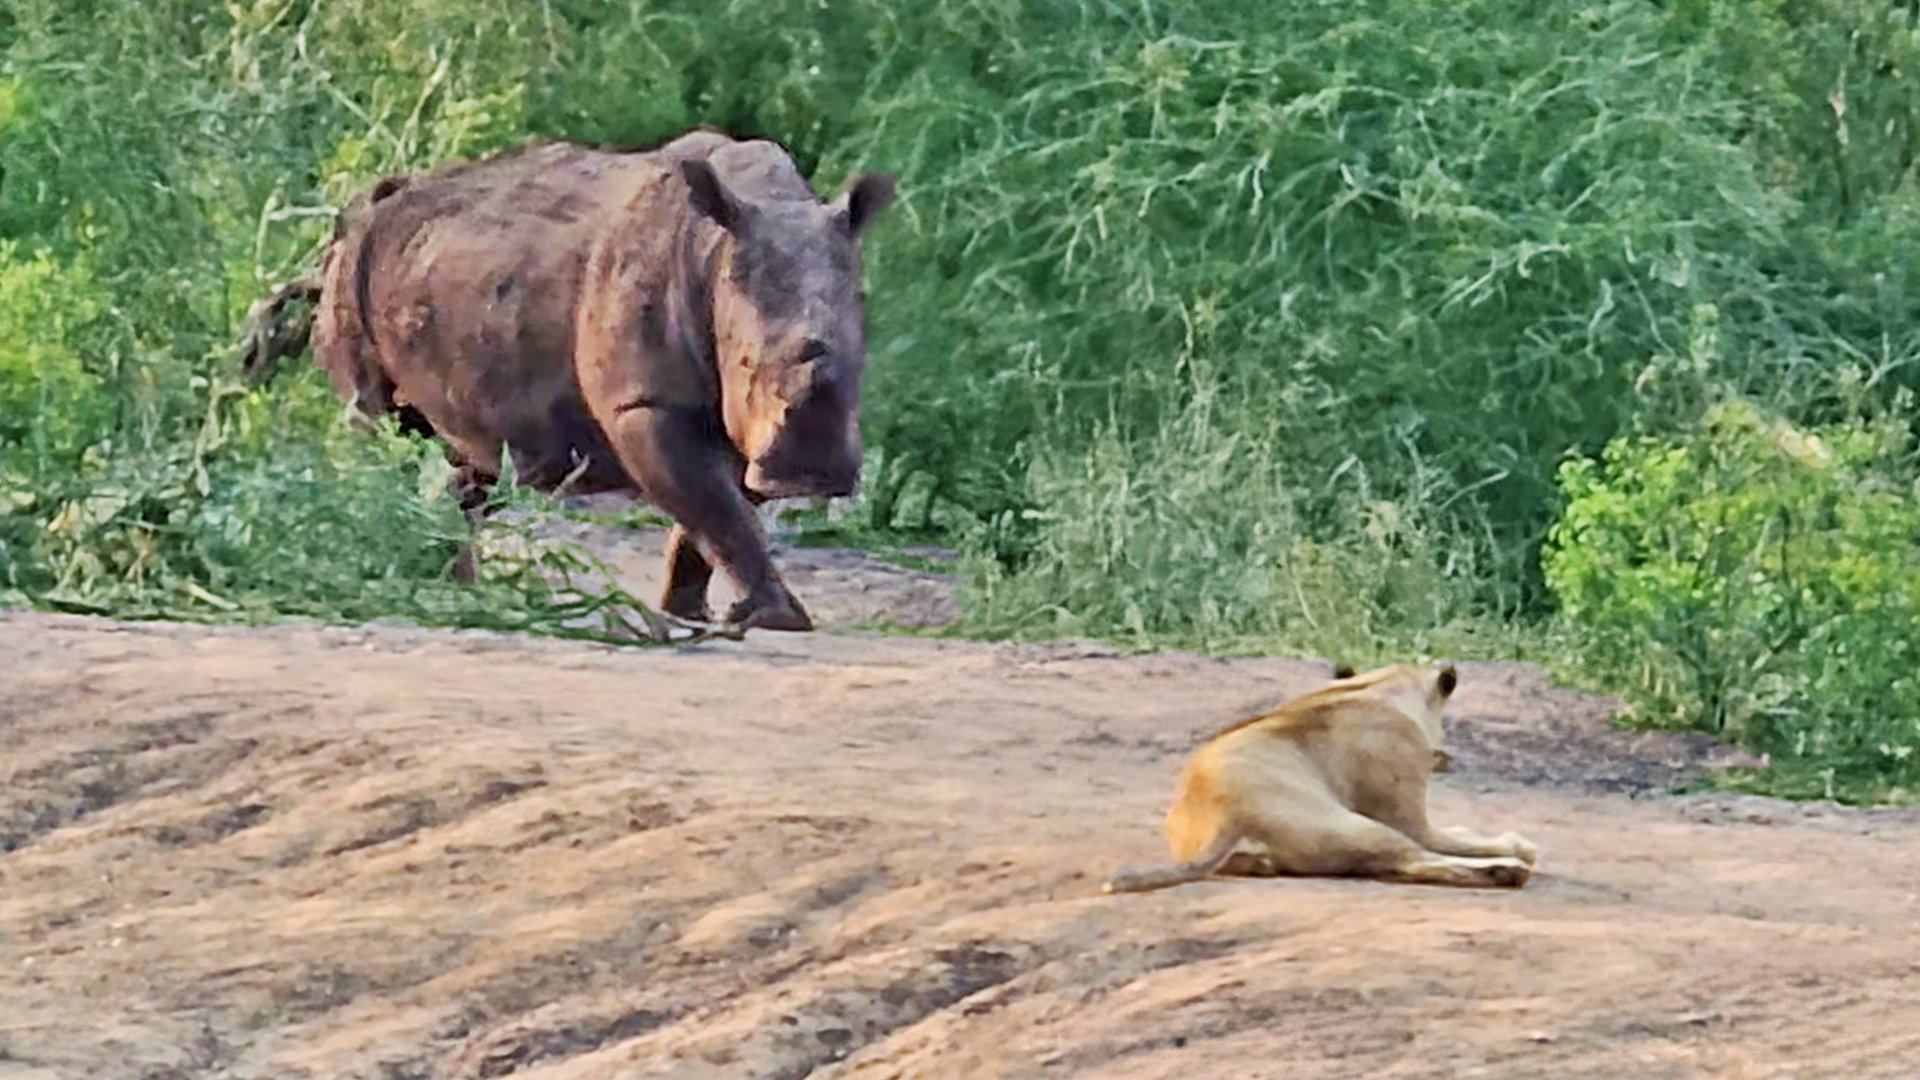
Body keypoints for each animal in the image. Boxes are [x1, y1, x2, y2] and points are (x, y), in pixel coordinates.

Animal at [240, 128, 896, 632]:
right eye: (746, 366)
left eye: (857, 363)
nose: (808, 474)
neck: (717, 252)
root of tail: (344, 228)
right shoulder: (645, 402)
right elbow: (717, 508)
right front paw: (775, 620)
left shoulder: (737, 426)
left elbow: (716, 513)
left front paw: (690, 616)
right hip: (353, 273)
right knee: (380, 429)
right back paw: (406, 576)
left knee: (465, 461)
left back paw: (453, 586)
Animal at [1102, 660, 1538, 894]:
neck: (1379, 686)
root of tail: (1223, 814)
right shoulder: (1406, 814)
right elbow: (1451, 840)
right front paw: (1515, 845)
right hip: (1355, 826)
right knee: (1416, 860)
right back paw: (1508, 870)